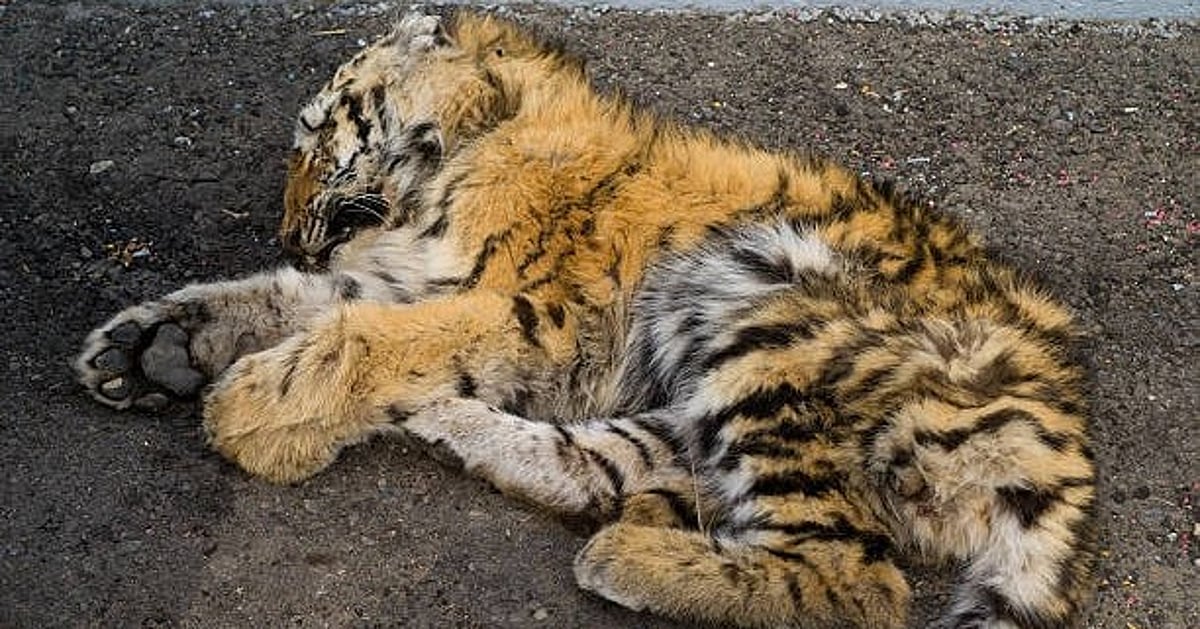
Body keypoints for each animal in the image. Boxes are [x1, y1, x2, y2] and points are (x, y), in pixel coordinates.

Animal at [75, 11, 1096, 629]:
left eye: (322, 134)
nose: (288, 228)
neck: (461, 149)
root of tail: (1064, 417)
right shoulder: (400, 278)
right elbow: (277, 298)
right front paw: (149, 350)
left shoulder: (538, 313)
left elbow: (354, 337)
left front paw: (253, 413)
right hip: (706, 378)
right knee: (605, 466)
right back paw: (460, 428)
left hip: (763, 302)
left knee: (855, 576)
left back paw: (624, 556)